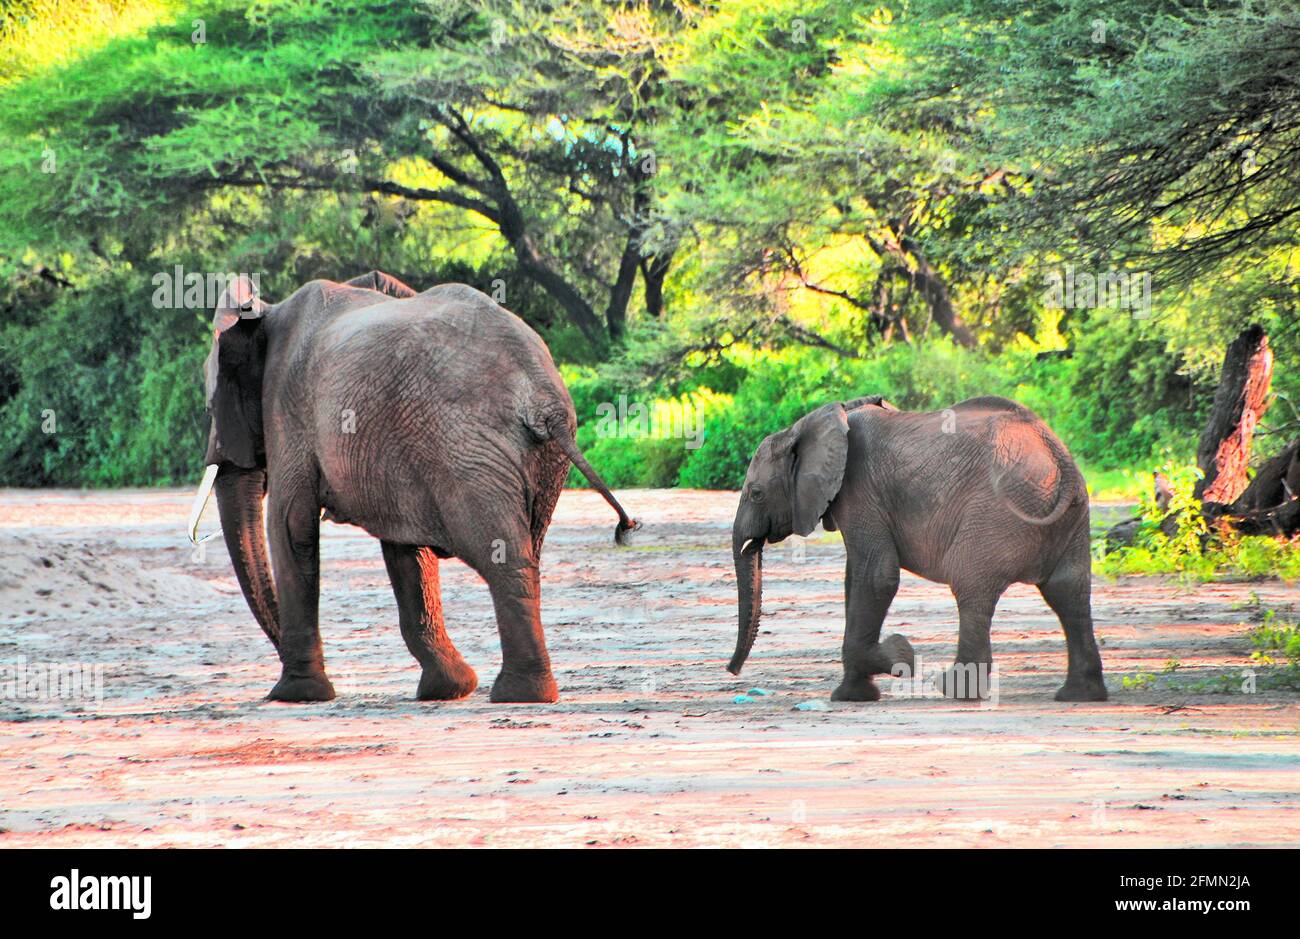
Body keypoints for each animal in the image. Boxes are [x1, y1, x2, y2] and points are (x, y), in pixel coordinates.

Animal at [186, 271, 638, 704]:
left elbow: (290, 526)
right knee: (527, 551)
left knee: (503, 555)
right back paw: (526, 693)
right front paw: (448, 689)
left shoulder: (287, 408)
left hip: (466, 452)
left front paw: (296, 695)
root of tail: (543, 399)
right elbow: (406, 550)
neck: (266, 312)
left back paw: (518, 695)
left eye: (209, 408)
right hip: (533, 460)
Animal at [726, 395, 1107, 703]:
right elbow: (855, 580)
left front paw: (901, 657)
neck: (810, 424)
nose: (732, 671)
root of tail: (1058, 458)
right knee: (1069, 592)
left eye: (756, 493)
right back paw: (1080, 695)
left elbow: (876, 575)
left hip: (996, 513)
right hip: (1073, 517)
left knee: (971, 587)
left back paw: (956, 691)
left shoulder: (859, 490)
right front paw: (853, 695)